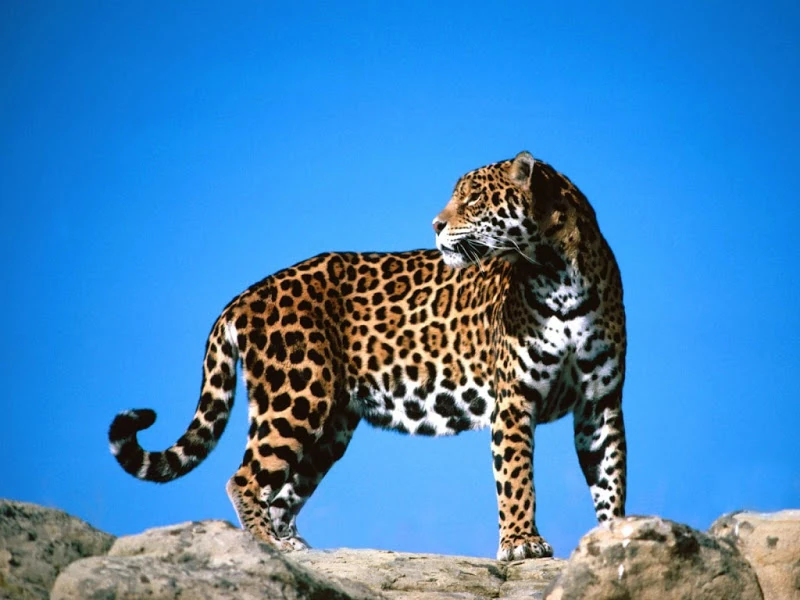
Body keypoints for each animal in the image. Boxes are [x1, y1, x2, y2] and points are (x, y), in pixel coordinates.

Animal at [109, 151, 627, 561]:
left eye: (473, 199)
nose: (436, 225)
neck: (558, 274)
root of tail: (245, 294)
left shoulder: (600, 403)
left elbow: (611, 476)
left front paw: (613, 541)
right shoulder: (515, 399)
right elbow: (516, 475)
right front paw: (522, 543)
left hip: (330, 426)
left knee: (284, 491)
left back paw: (293, 545)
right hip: (296, 395)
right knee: (245, 478)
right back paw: (266, 545)